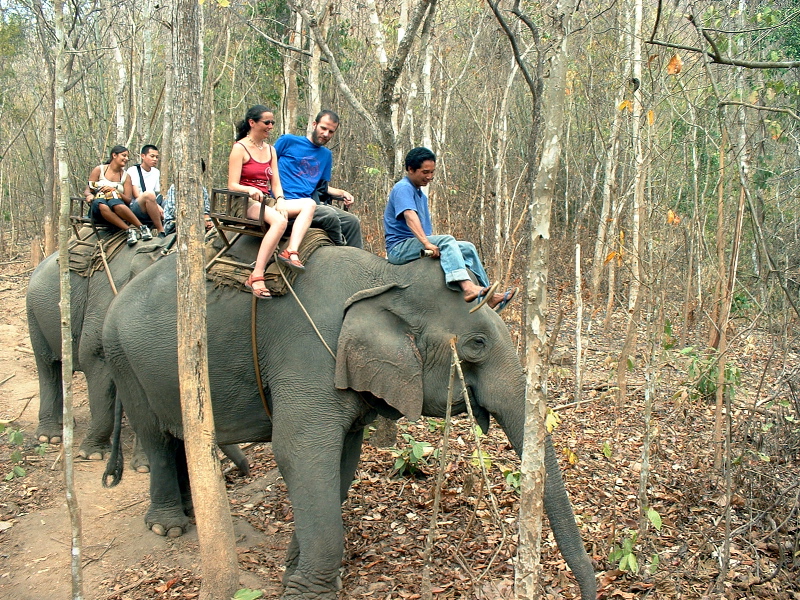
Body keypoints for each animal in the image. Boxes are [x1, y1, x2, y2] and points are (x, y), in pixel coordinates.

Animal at [26, 230, 248, 474]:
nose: (243, 470)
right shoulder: (105, 305)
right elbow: (94, 360)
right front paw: (93, 454)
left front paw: (145, 465)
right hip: (34, 310)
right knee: (47, 365)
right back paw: (50, 436)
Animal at [103, 240, 596, 600]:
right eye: (476, 345)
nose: (588, 590)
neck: (386, 279)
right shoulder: (308, 357)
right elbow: (300, 452)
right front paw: (306, 594)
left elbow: (342, 460)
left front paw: (295, 573)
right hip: (122, 357)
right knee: (155, 436)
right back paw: (167, 526)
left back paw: (188, 513)